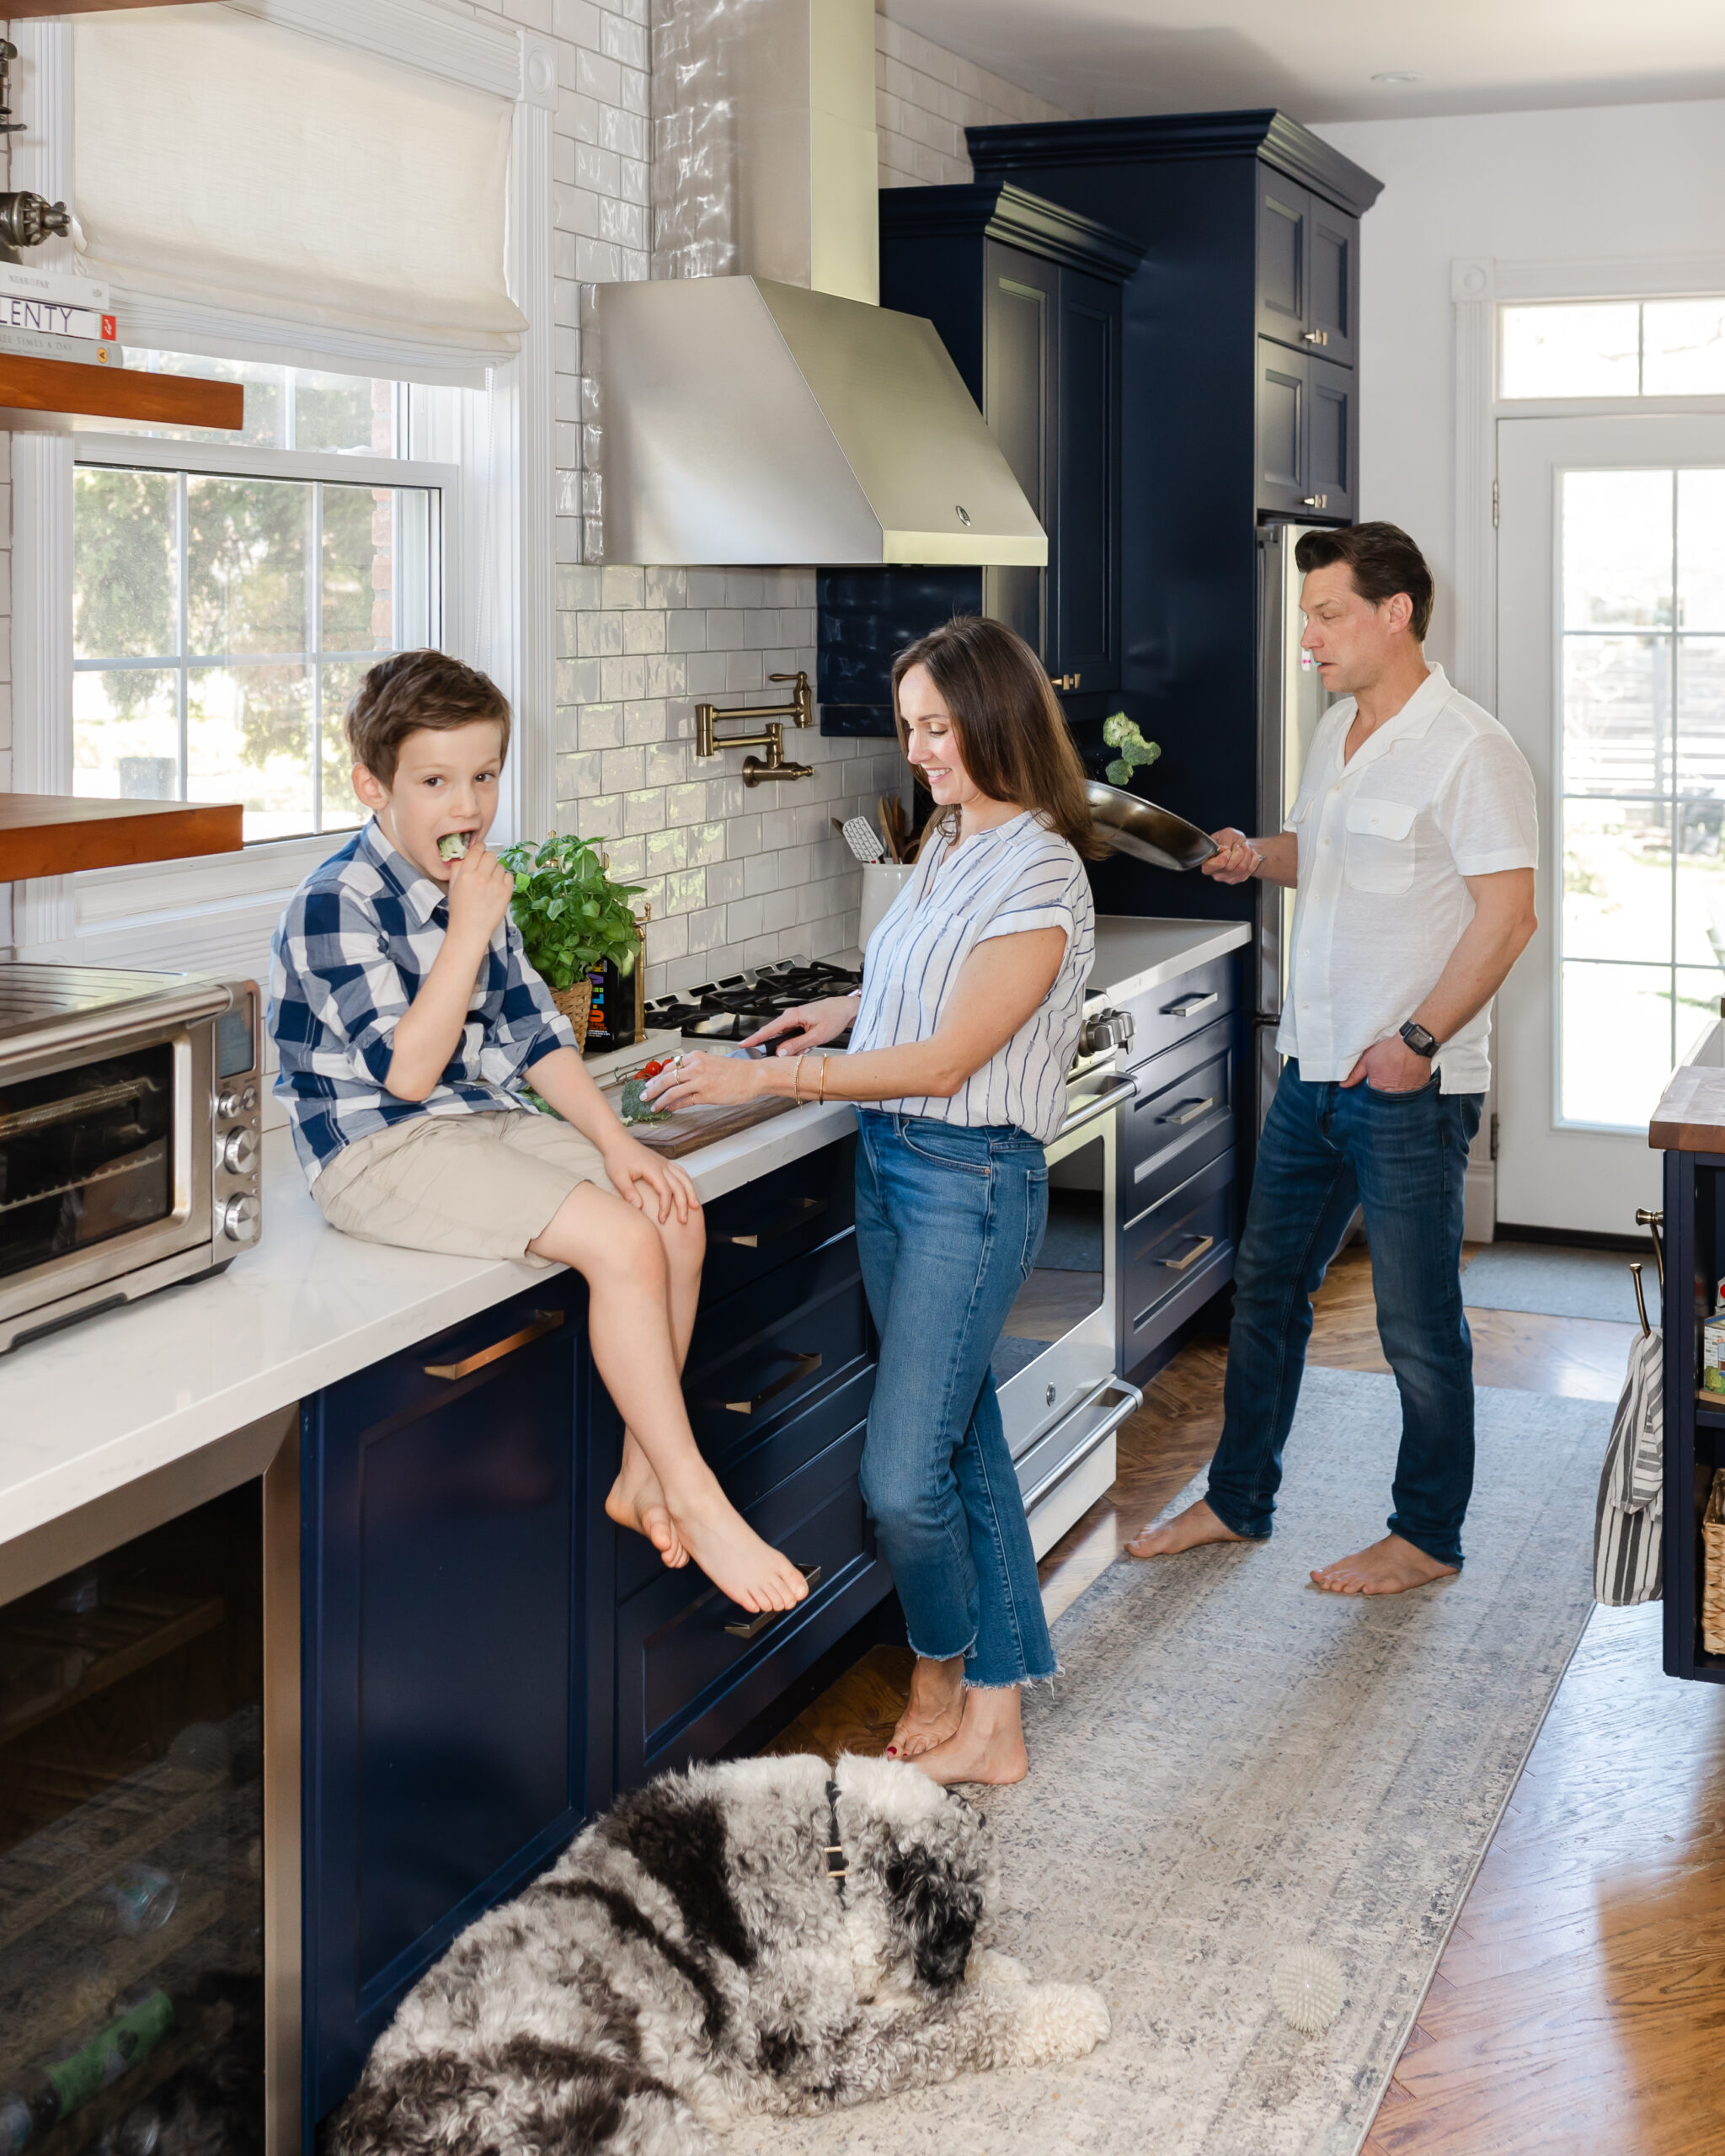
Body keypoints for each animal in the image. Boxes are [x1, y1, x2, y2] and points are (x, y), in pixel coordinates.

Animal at [329, 1750, 1112, 2156]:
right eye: (959, 1928)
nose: (954, 1969)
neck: (827, 1845)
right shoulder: (812, 2051)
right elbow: (961, 2025)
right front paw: (1059, 2008)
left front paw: (1004, 1973)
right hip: (629, 2120)